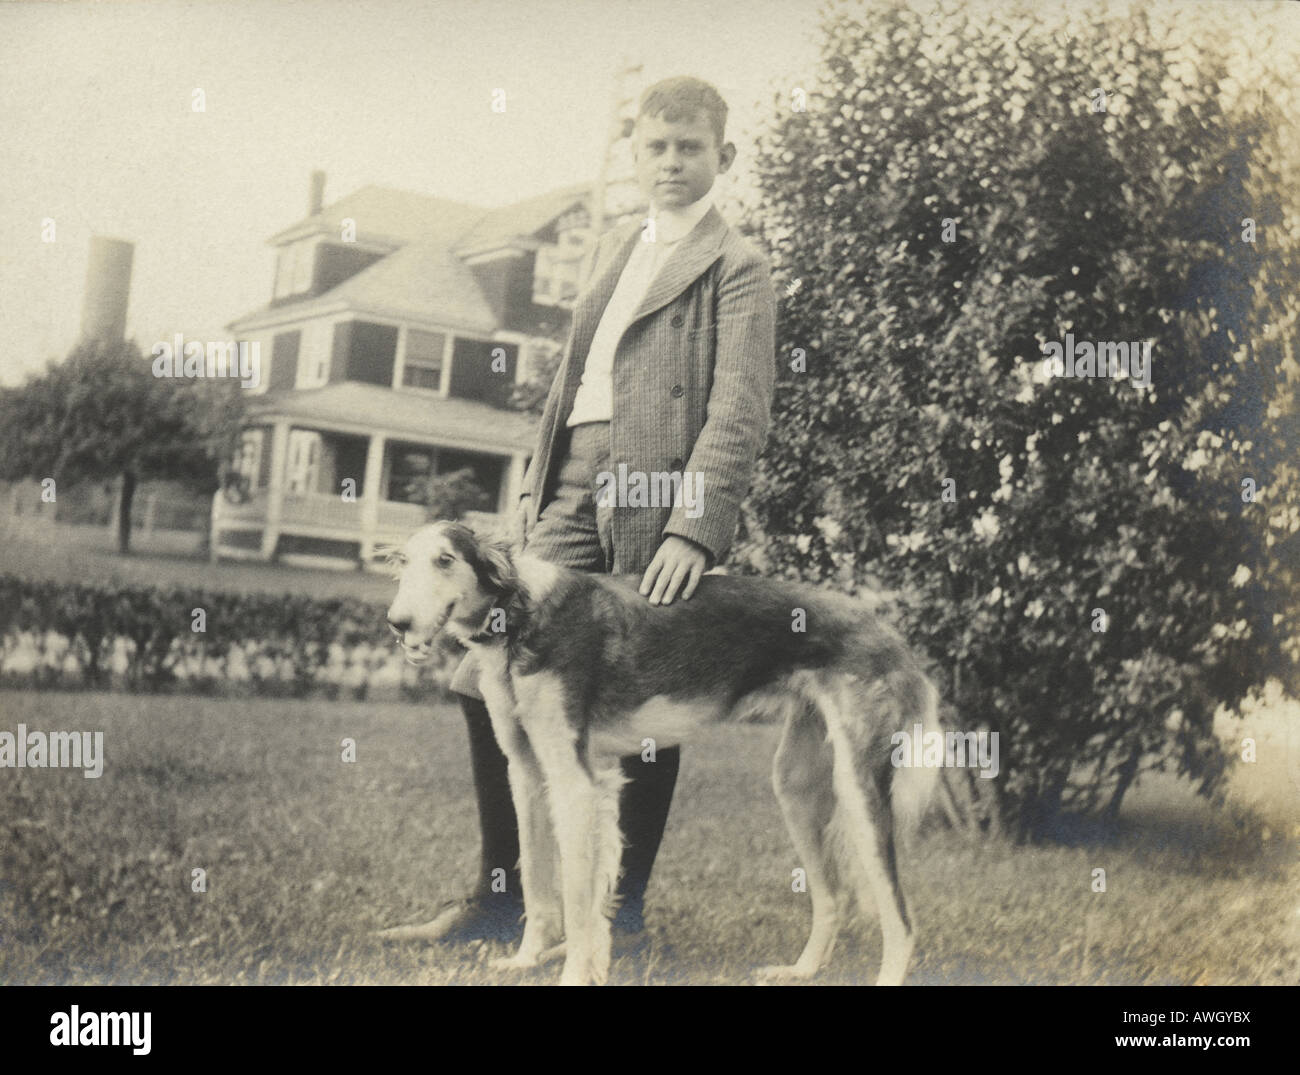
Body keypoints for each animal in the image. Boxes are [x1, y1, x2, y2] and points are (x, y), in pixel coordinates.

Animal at [379, 522, 941, 982]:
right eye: (404, 562)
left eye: (446, 560)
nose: (397, 622)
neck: (522, 613)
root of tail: (889, 631)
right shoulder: (527, 773)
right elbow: (537, 882)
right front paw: (525, 960)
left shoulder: (576, 781)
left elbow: (578, 900)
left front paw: (575, 971)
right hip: (797, 786)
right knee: (833, 897)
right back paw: (799, 971)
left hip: (860, 791)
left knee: (903, 920)